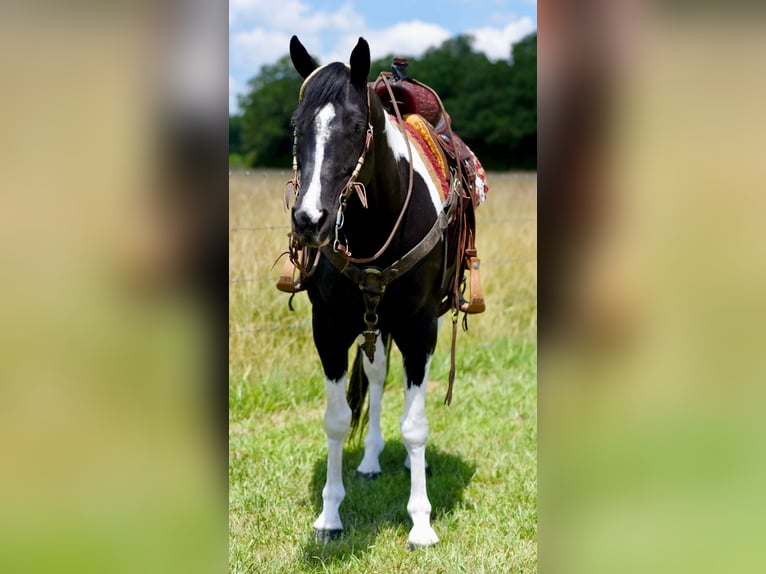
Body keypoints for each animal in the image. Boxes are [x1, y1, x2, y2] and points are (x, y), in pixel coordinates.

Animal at [280, 35, 485, 548]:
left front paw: (421, 522)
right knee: (375, 376)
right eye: (296, 126)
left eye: (356, 126)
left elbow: (414, 426)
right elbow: (336, 420)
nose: (310, 220)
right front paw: (329, 516)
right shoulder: (328, 327)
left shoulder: (420, 326)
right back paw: (371, 458)